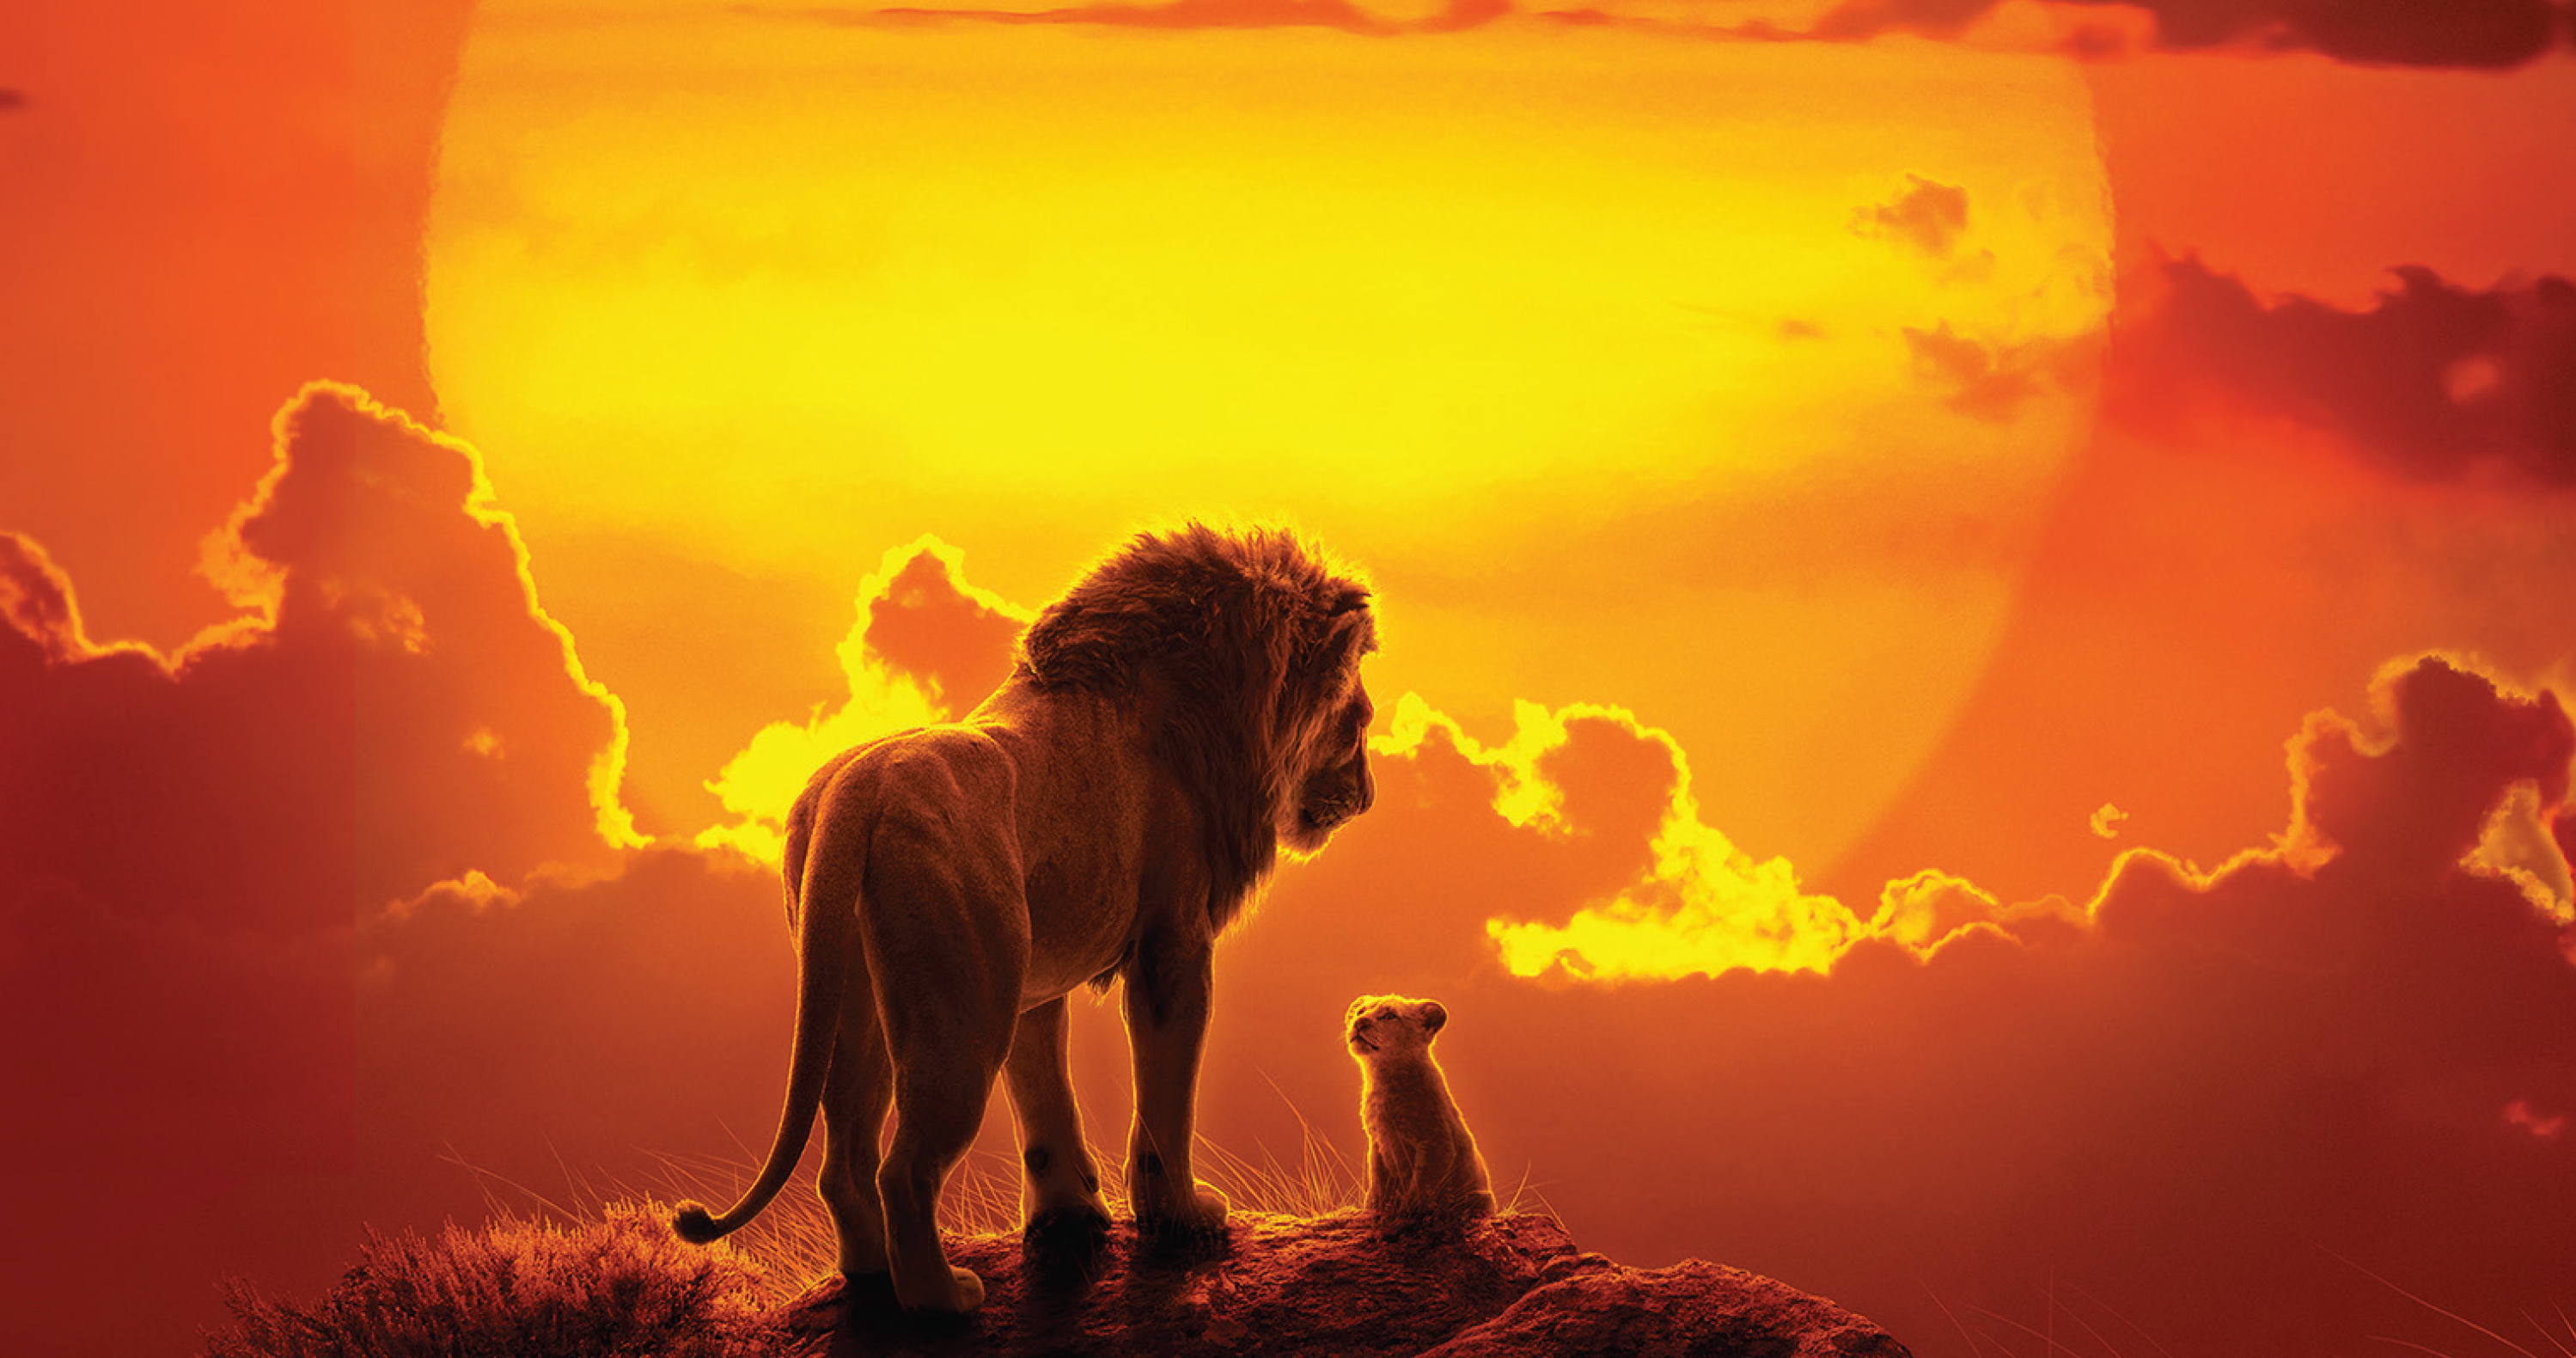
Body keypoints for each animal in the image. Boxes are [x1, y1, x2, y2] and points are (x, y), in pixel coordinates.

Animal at [674, 525, 1378, 1314]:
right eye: (1358, 724)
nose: (1368, 795)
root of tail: (857, 790)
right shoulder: (1173, 944)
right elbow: (1166, 1102)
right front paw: (1182, 1218)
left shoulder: (1033, 979)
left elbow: (1045, 1101)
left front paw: (1068, 1215)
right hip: (961, 1014)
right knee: (904, 1169)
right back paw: (943, 1300)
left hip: (858, 1001)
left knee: (846, 1161)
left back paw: (871, 1277)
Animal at [1346, 995, 1492, 1223]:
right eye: (1361, 1011)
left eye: (1390, 1015)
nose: (1360, 1022)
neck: (1381, 1077)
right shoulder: (1378, 1142)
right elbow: (1377, 1181)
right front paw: (1374, 1209)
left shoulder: (1435, 1142)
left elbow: (1422, 1185)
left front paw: (1407, 1214)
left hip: (1480, 1196)